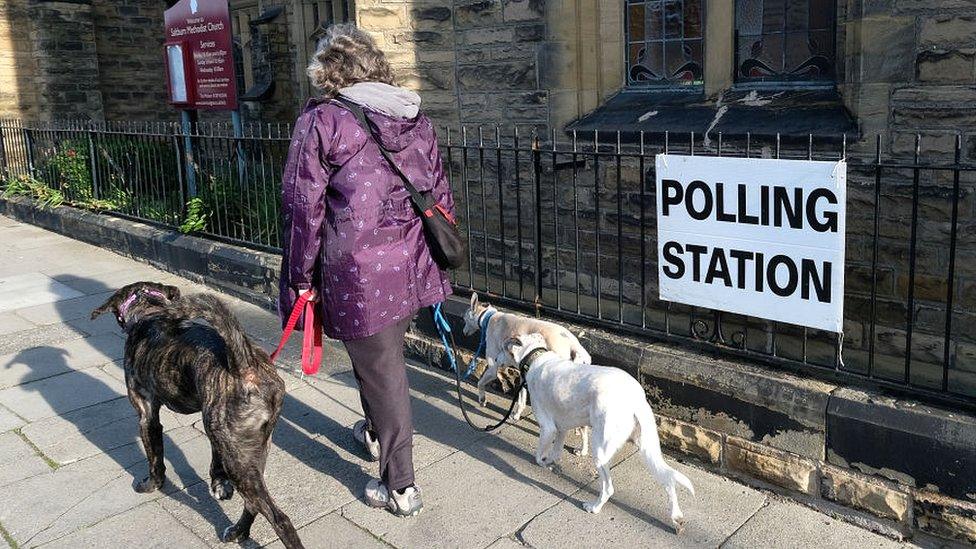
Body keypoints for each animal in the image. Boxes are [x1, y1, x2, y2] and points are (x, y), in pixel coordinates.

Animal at [92, 282, 304, 548]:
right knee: (253, 503)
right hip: (251, 449)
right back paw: (237, 531)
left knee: (279, 518)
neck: (150, 312)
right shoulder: (216, 428)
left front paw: (151, 485)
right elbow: (215, 460)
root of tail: (244, 364)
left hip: (238, 457)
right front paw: (220, 485)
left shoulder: (147, 416)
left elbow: (155, 459)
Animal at [462, 294, 592, 452]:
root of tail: (574, 345)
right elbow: (522, 397)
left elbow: (480, 382)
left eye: (464, 319)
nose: (463, 332)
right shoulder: (523, 372)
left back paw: (582, 449)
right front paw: (517, 414)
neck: (490, 317)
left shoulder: (493, 368)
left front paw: (482, 400)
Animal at [510, 332, 692, 528]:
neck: (537, 356)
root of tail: (635, 397)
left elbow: (538, 456)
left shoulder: (548, 428)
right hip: (647, 447)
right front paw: (552, 463)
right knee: (668, 479)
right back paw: (676, 516)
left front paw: (543, 463)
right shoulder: (562, 428)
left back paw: (594, 507)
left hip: (601, 451)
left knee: (608, 489)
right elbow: (556, 452)